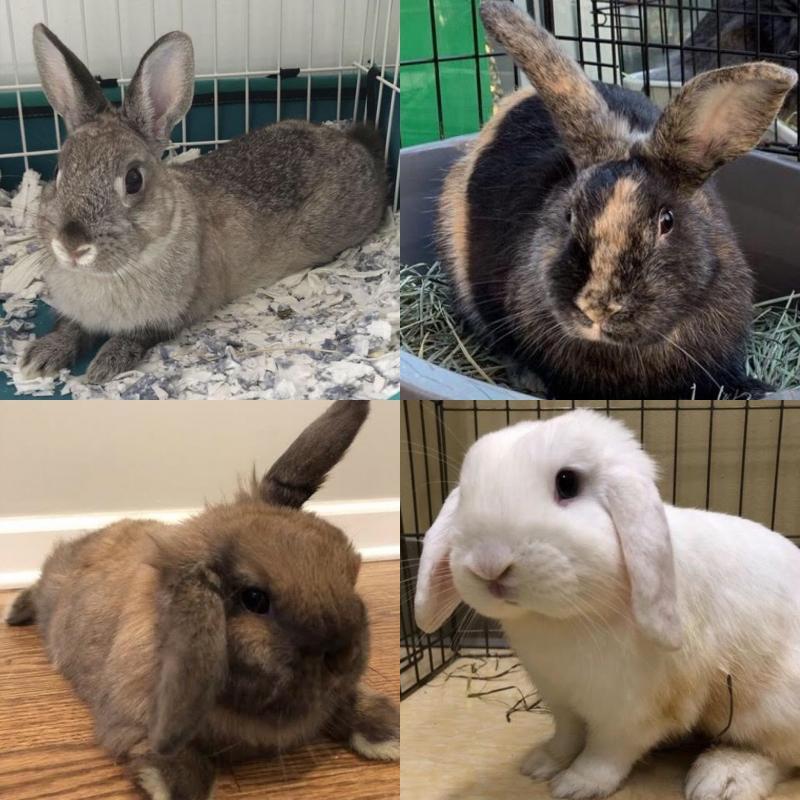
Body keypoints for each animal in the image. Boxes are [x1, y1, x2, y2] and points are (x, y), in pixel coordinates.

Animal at [4, 401, 399, 800]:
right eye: (254, 599)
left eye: (350, 569)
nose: (344, 656)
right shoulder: (133, 723)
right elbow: (172, 759)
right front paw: (176, 786)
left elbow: (352, 703)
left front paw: (389, 733)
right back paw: (14, 613)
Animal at [21, 24, 387, 384]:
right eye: (59, 171)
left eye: (134, 180)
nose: (72, 246)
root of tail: (360, 148)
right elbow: (70, 327)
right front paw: (40, 357)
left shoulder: (173, 315)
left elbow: (135, 336)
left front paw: (105, 365)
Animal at [415, 407, 800, 800]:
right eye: (465, 494)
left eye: (567, 483)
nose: (488, 565)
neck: (561, 620)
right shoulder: (559, 696)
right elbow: (567, 735)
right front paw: (540, 764)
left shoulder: (630, 710)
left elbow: (608, 750)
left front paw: (575, 784)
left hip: (771, 706)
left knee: (778, 753)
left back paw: (721, 779)